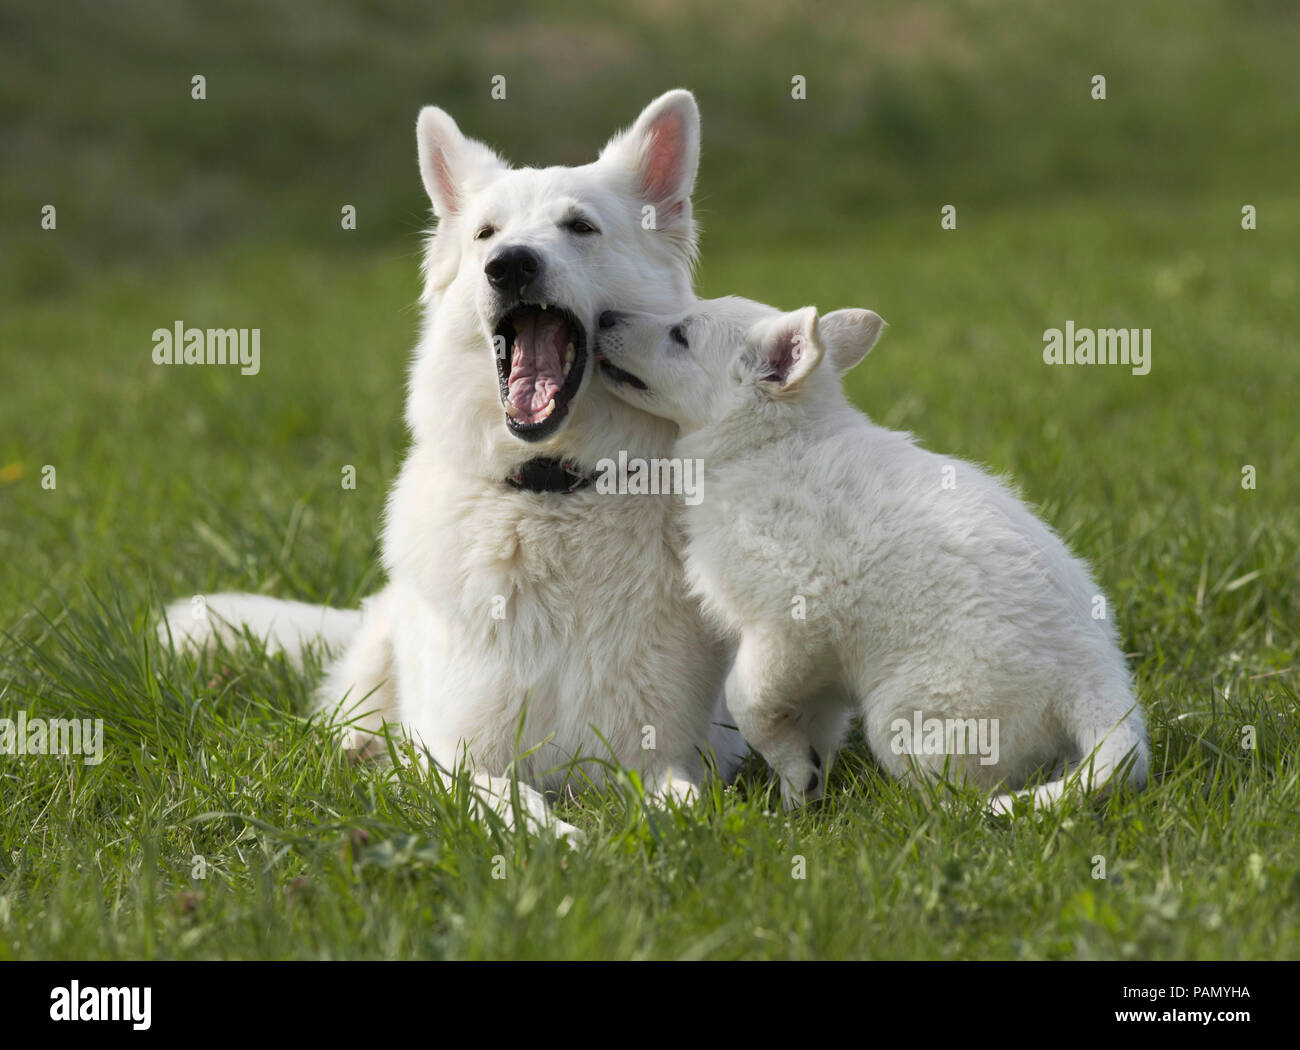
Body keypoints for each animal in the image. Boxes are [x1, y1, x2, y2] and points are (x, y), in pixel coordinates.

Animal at [161, 92, 748, 847]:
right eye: (485, 234)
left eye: (580, 227)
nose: (510, 265)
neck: (551, 490)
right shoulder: (455, 755)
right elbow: (510, 801)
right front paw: (566, 846)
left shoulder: (668, 753)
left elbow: (683, 801)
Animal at [595, 294, 1154, 810]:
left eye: (680, 335)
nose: (602, 316)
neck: (767, 446)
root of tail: (1096, 682)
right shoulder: (818, 662)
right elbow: (810, 726)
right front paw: (798, 795)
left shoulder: (788, 626)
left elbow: (744, 699)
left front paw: (791, 775)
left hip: (908, 716)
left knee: (963, 794)